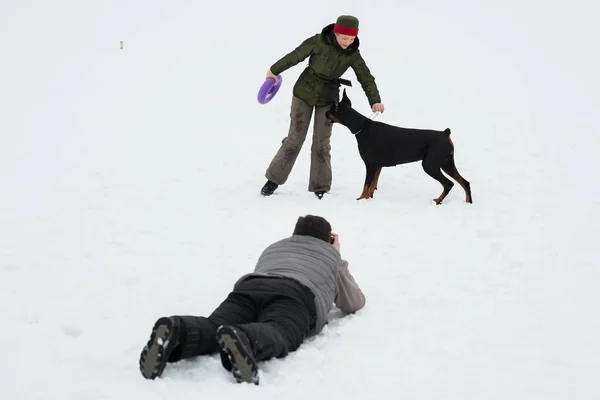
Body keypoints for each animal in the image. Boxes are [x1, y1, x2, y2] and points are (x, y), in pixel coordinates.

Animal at [326, 89, 472, 205]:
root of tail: (445, 133)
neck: (362, 127)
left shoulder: (370, 164)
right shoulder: (378, 166)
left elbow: (366, 186)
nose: (325, 113)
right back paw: (468, 203)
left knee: (449, 184)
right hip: (446, 163)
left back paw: (438, 201)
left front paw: (360, 200)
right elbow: (372, 186)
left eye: (331, 110)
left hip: (430, 165)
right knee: (465, 182)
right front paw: (369, 199)